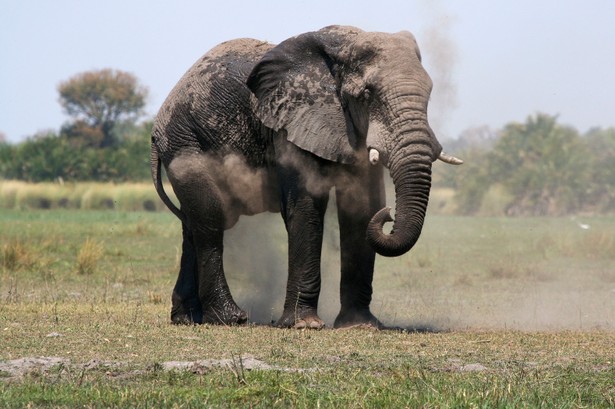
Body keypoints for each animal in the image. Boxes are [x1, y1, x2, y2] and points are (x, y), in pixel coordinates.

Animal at [152, 24, 462, 328]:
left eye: (430, 93)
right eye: (366, 94)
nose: (389, 215)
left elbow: (361, 208)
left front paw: (360, 325)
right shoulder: (291, 122)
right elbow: (306, 206)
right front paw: (305, 325)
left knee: (192, 224)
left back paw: (187, 319)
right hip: (185, 142)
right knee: (210, 218)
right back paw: (230, 318)